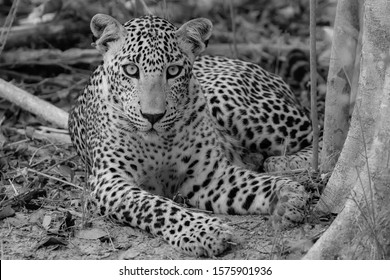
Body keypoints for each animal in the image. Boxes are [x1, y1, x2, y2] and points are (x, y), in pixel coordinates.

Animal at [68, 14, 316, 258]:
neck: (159, 144)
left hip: (232, 104)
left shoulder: (207, 174)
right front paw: (205, 231)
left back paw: (283, 162)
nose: (153, 116)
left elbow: (253, 183)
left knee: (314, 133)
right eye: (130, 70)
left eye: (173, 71)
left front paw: (287, 194)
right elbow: (154, 206)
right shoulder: (110, 181)